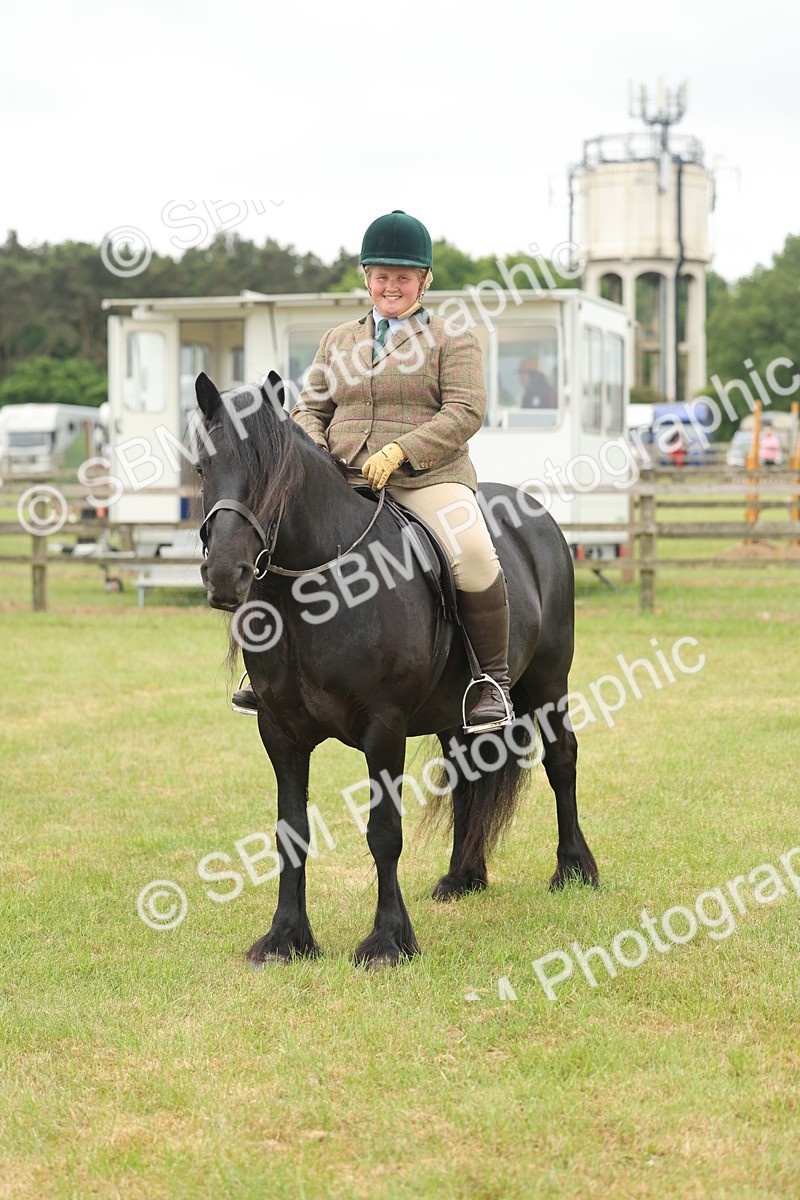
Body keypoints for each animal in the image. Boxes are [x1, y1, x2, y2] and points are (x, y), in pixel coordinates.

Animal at [194, 371, 598, 968]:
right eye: (202, 467)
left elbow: (384, 832)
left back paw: (574, 869)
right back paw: (463, 876)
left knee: (561, 760)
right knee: (468, 775)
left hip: (549, 682)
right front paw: (286, 937)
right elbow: (290, 832)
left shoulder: (383, 728)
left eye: (276, 475)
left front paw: (388, 940)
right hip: (459, 712)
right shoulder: (280, 732)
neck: (318, 591)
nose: (226, 575)